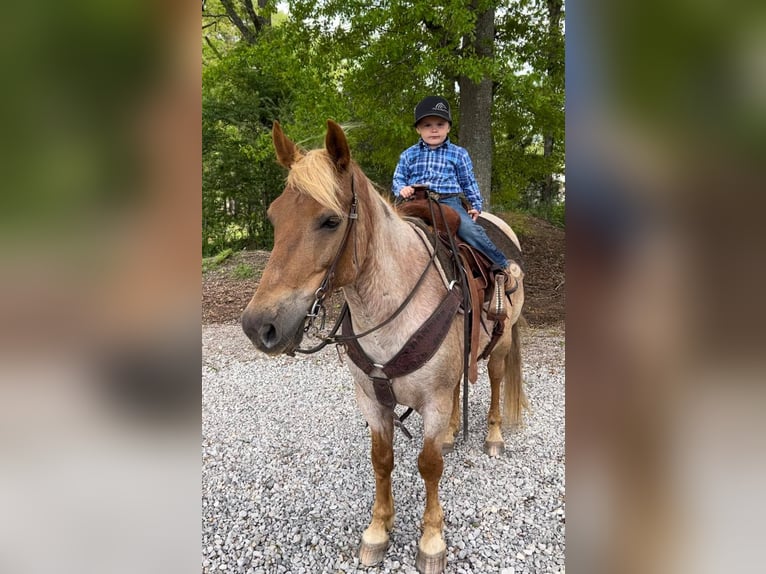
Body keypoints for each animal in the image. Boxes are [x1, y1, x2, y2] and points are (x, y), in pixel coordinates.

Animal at [242, 119, 528, 572]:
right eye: (274, 216)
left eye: (330, 221)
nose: (259, 326)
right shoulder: (372, 400)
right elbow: (382, 460)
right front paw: (378, 531)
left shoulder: (431, 400)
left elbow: (429, 465)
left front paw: (431, 541)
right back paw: (451, 432)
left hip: (500, 345)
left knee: (497, 381)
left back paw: (494, 437)